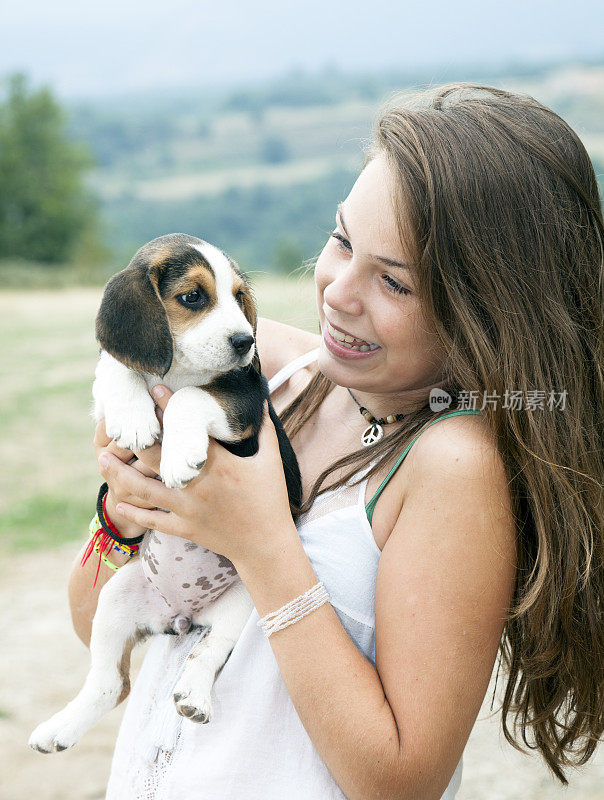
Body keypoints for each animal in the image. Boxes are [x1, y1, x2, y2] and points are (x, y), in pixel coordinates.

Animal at [29, 234, 302, 752]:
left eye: (239, 296)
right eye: (193, 297)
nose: (246, 341)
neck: (178, 371)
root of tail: (179, 615)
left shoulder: (243, 406)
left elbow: (192, 398)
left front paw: (178, 456)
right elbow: (118, 368)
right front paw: (136, 417)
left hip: (247, 603)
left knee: (208, 652)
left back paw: (194, 696)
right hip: (116, 598)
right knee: (111, 685)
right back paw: (59, 728)